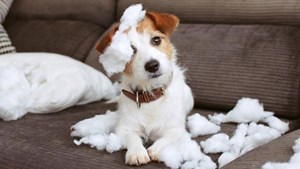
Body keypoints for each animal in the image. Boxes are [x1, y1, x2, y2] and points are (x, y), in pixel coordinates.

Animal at [96, 6, 195, 165]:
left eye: (156, 40)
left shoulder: (176, 131)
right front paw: (137, 152)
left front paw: (155, 149)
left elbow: (166, 140)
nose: (152, 65)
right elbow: (133, 138)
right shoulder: (125, 129)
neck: (150, 94)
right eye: (130, 51)